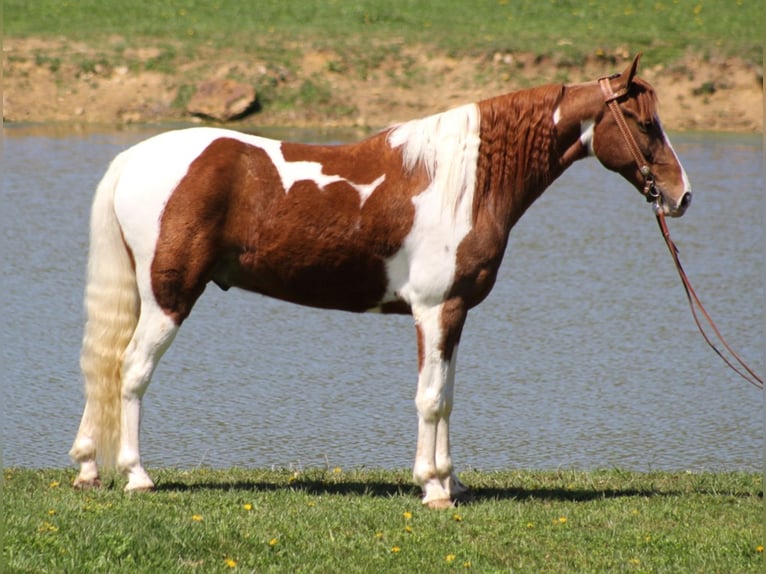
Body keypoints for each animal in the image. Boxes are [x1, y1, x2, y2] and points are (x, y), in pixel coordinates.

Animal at [72, 55, 692, 508]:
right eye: (643, 123)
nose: (681, 195)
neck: (464, 182)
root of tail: (132, 159)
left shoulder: (455, 312)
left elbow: (447, 395)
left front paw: (450, 480)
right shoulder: (435, 309)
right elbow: (430, 397)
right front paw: (433, 488)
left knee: (106, 366)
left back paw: (87, 469)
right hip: (169, 297)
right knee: (131, 370)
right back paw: (136, 475)